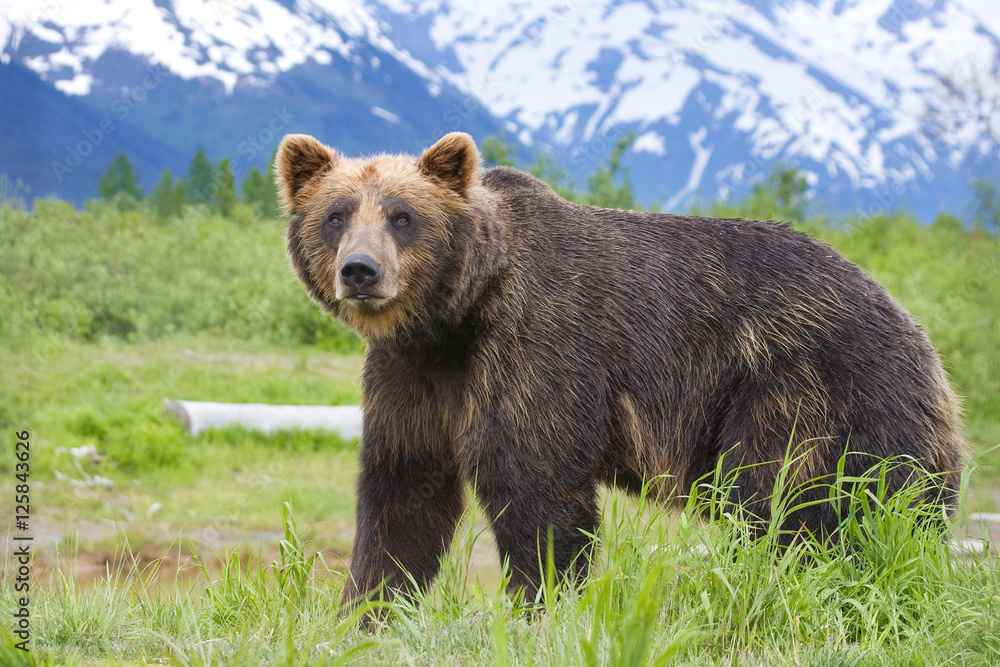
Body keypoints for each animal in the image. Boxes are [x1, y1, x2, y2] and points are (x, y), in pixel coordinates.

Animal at [274, 131, 967, 614]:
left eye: (402, 215)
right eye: (337, 214)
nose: (361, 270)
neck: (456, 319)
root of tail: (926, 348)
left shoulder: (538, 348)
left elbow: (537, 488)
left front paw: (540, 606)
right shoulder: (413, 378)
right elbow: (403, 493)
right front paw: (365, 613)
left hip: (809, 386)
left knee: (801, 505)